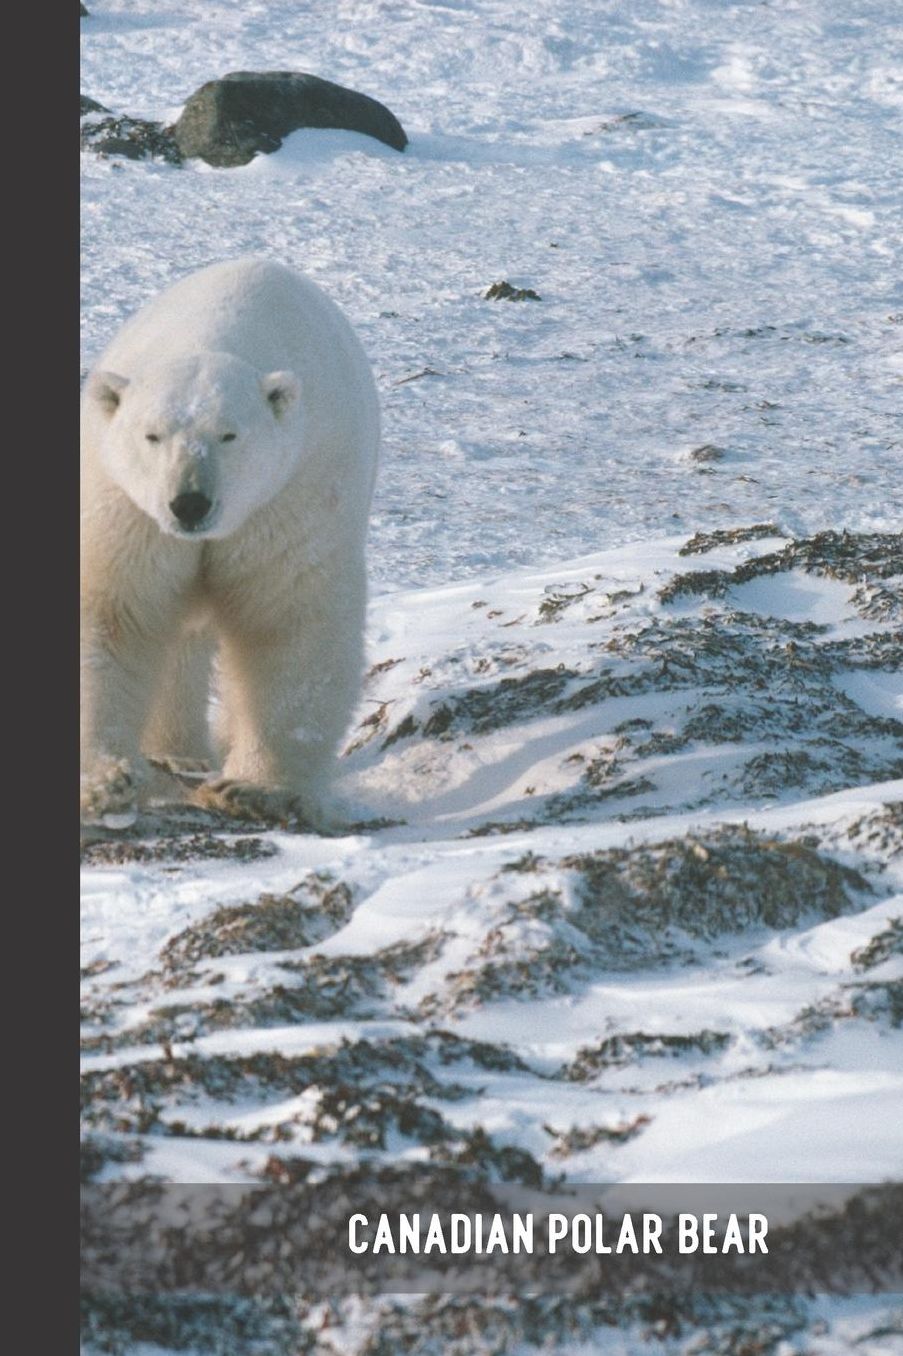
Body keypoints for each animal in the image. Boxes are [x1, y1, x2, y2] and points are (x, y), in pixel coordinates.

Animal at [80, 257, 379, 828]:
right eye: (152, 435)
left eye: (229, 435)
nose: (189, 504)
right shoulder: (128, 510)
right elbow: (113, 611)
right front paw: (104, 781)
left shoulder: (290, 496)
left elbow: (286, 620)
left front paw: (252, 789)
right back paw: (178, 752)